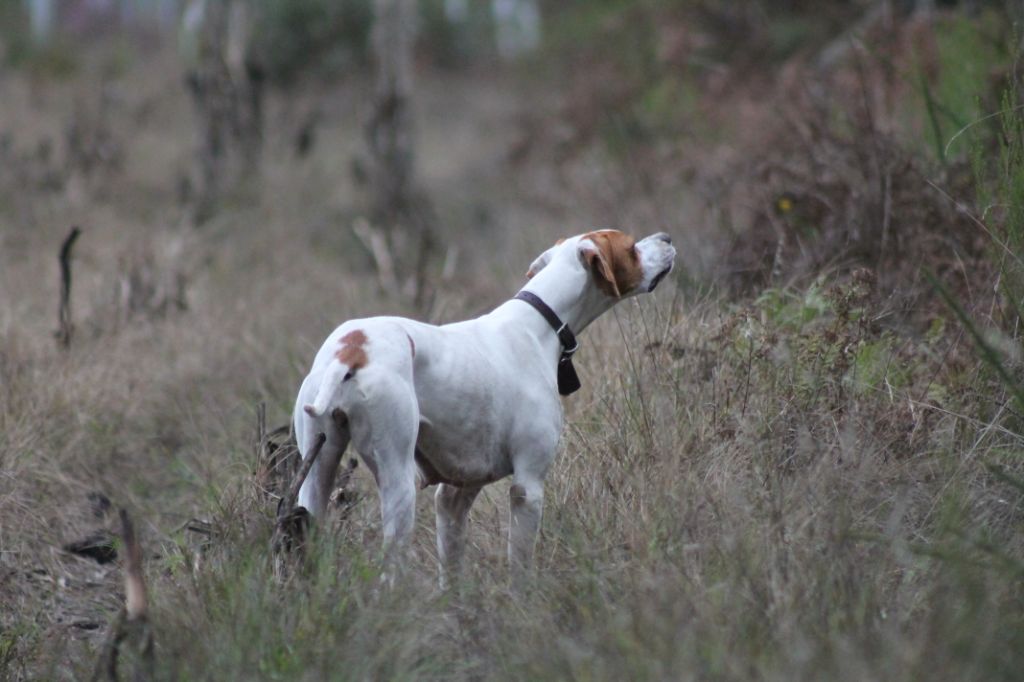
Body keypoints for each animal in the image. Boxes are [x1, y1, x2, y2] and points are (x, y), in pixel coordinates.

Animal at [292, 231, 675, 581]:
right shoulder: (528, 487)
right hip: (397, 481)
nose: (667, 237)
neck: (541, 324)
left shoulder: (455, 493)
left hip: (316, 474)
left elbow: (452, 573)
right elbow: (520, 571)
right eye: (630, 246)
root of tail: (351, 349)